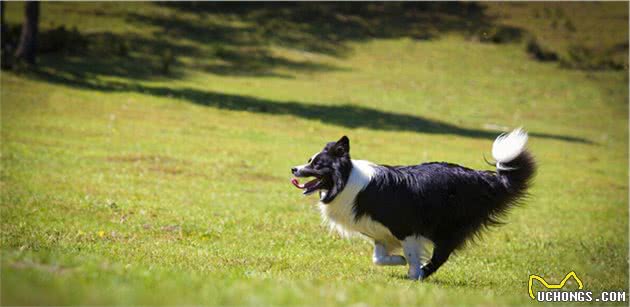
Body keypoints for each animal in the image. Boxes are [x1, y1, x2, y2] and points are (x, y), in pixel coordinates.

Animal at [294, 129, 536, 282]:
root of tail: (484, 178)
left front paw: (411, 272)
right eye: (308, 160)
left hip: (448, 225)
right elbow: (378, 259)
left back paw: (422, 273)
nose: (293, 169)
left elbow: (410, 254)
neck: (346, 180)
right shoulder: (380, 233)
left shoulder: (407, 228)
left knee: (441, 255)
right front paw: (397, 260)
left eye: (317, 164)